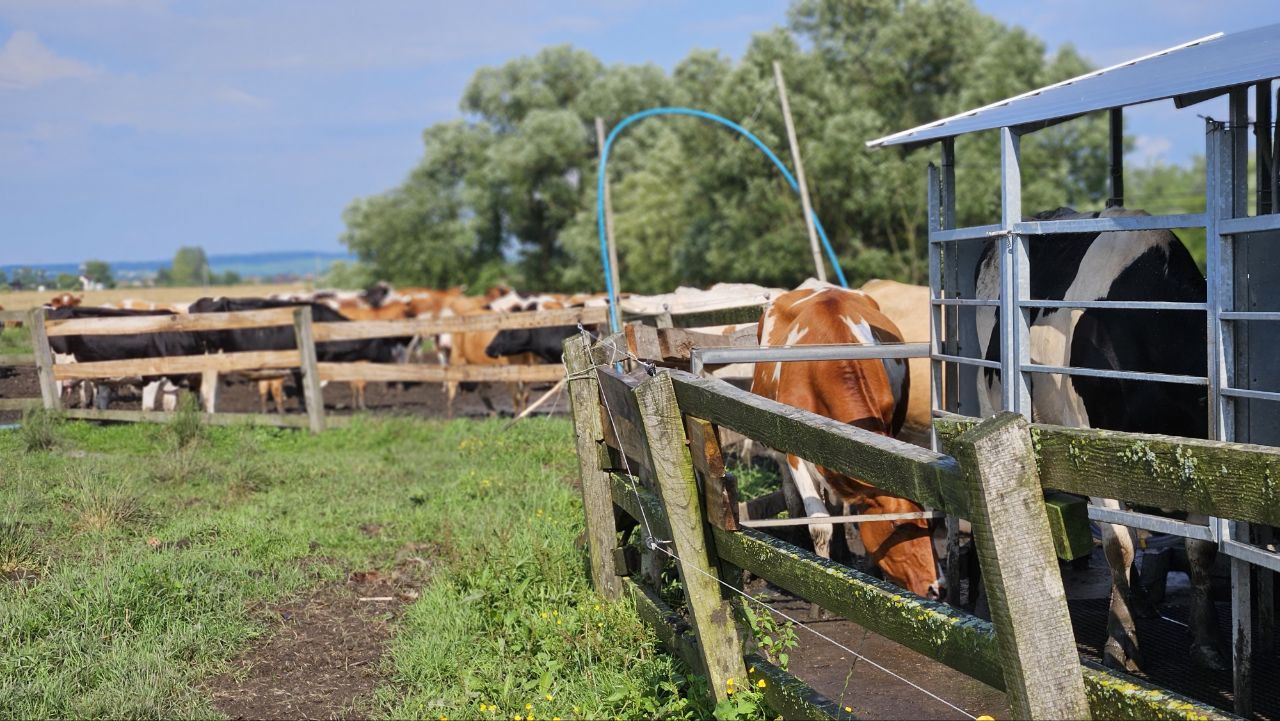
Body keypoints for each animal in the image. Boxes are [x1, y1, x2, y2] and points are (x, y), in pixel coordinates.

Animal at [751, 281, 939, 599]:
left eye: (928, 523)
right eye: (896, 525)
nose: (936, 588)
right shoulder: (794, 450)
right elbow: (820, 525)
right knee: (793, 497)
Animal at [974, 206, 1219, 672]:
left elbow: (1199, 551)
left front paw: (1203, 643)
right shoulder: (1093, 443)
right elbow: (1119, 545)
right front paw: (1120, 643)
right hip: (989, 393)